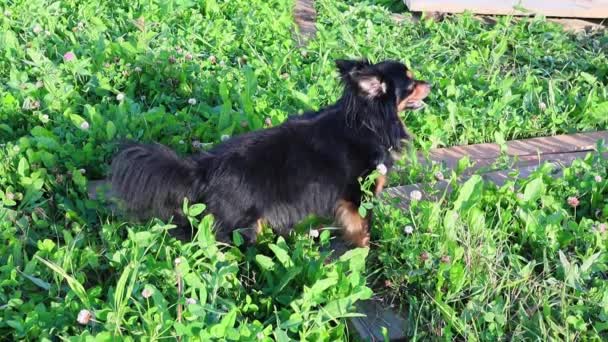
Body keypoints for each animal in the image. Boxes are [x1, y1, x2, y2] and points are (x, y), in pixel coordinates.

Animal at [110, 58, 432, 246]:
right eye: (411, 83)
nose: (429, 83)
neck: (368, 122)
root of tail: (203, 168)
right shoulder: (356, 198)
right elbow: (361, 230)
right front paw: (362, 255)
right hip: (243, 226)